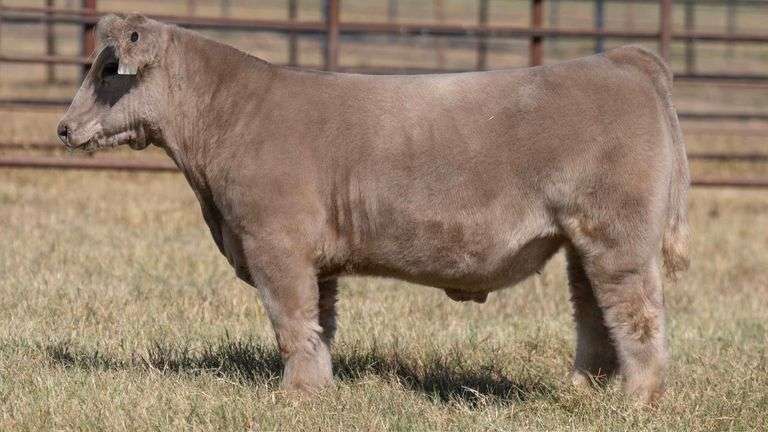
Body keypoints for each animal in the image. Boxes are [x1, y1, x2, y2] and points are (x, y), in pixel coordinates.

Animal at [57, 14, 690, 405]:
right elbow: (319, 323)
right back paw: (583, 391)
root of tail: (620, 60)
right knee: (594, 316)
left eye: (108, 69)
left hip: (618, 239)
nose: (63, 127)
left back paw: (637, 399)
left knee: (637, 314)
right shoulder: (316, 260)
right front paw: (318, 387)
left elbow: (290, 321)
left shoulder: (273, 243)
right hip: (583, 243)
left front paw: (296, 394)